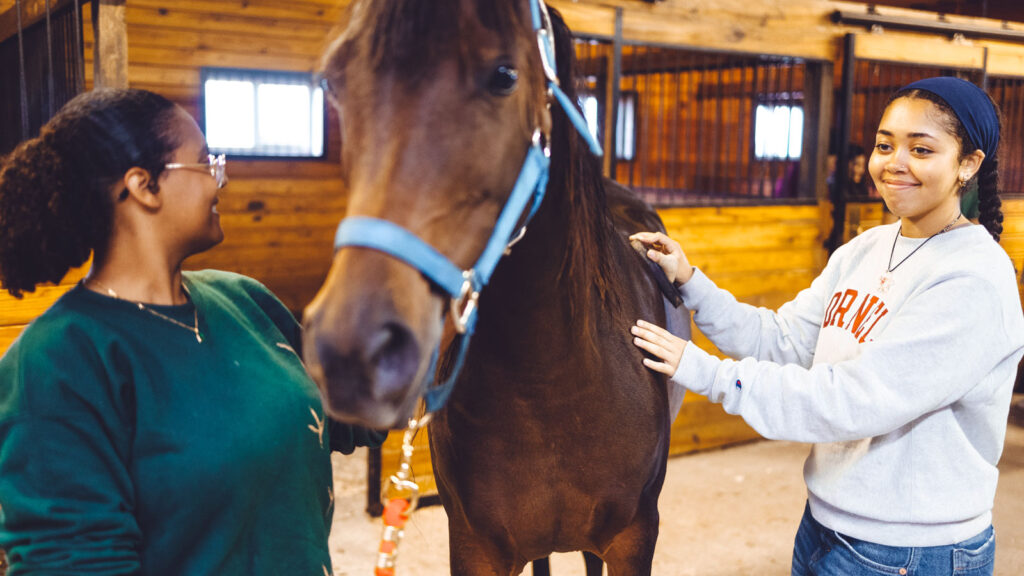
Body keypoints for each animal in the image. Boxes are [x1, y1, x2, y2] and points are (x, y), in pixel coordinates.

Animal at [303, 2, 688, 569]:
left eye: (504, 76)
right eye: (334, 80)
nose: (352, 350)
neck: (553, 385)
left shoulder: (634, 539)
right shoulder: (475, 546)